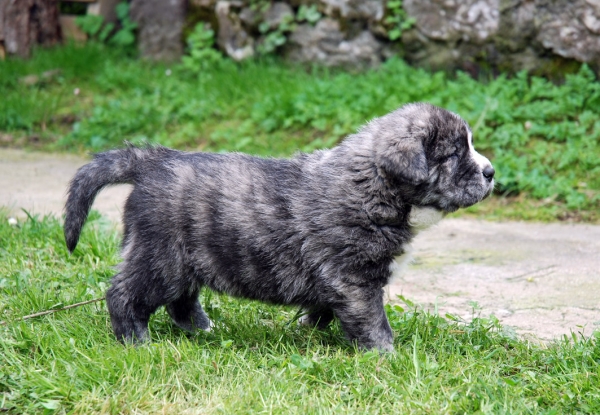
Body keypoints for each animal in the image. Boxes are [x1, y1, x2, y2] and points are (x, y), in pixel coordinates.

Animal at [63, 103, 494, 352]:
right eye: (454, 154)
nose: (491, 172)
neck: (373, 185)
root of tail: (152, 162)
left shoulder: (338, 282)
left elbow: (324, 309)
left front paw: (309, 330)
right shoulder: (355, 280)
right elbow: (373, 323)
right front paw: (387, 357)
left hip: (183, 259)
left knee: (181, 299)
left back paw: (202, 330)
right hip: (160, 256)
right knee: (125, 294)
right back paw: (136, 342)